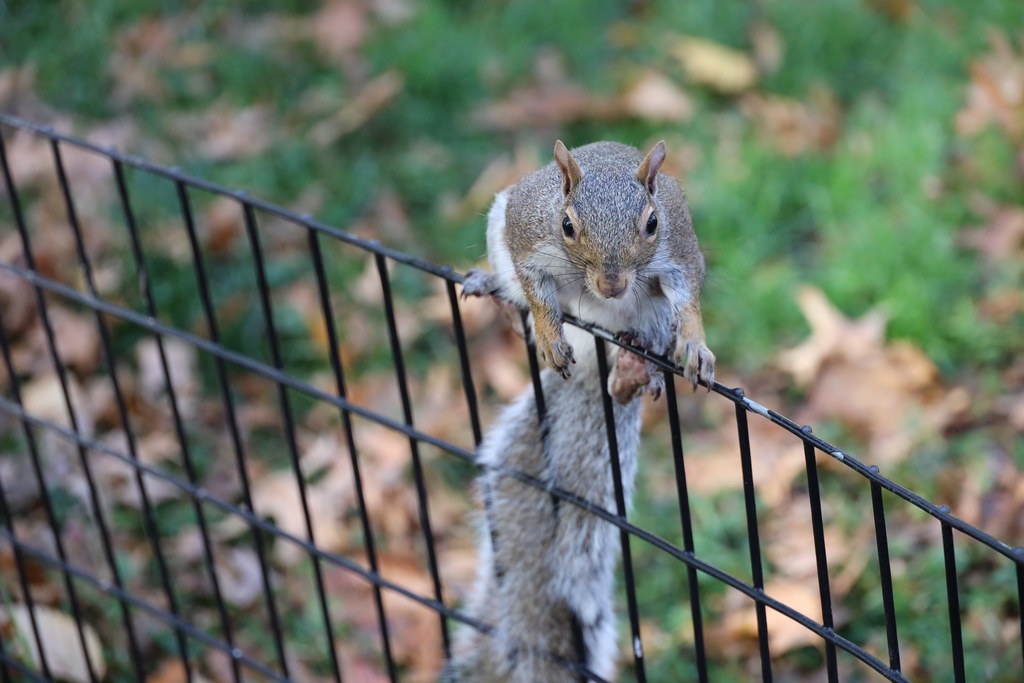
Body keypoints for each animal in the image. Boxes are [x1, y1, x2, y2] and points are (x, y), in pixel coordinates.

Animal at [445, 141, 715, 681]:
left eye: (652, 222)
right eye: (567, 225)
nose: (612, 285)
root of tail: (596, 348)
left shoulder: (678, 250)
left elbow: (688, 295)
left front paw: (695, 344)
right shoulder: (525, 233)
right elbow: (536, 290)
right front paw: (549, 333)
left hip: (651, 322)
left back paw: (633, 371)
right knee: (521, 307)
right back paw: (501, 298)